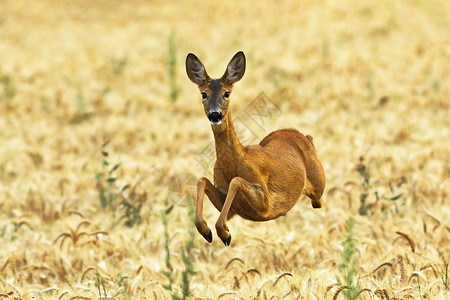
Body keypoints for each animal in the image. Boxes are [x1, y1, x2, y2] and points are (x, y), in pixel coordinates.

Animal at [185, 50, 326, 245]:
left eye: (226, 93)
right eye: (203, 94)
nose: (215, 114)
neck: (235, 162)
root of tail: (302, 136)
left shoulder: (265, 202)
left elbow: (236, 181)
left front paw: (224, 233)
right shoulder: (232, 207)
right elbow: (202, 180)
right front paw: (208, 232)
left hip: (319, 182)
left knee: (318, 199)